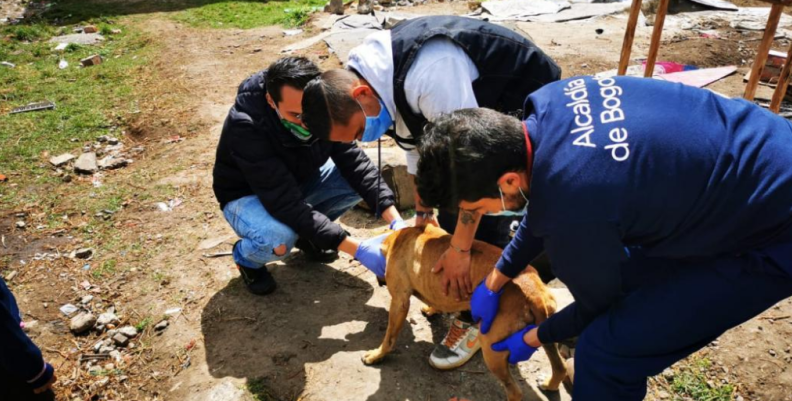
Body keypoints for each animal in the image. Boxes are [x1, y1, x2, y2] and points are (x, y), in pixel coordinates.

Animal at [362, 225, 568, 400]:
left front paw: (376, 355)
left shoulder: (399, 303)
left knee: (515, 392)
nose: (380, 281)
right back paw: (550, 384)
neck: (401, 238)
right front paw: (432, 308)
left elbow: (389, 337)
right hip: (545, 333)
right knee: (561, 367)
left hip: (493, 352)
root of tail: (534, 293)